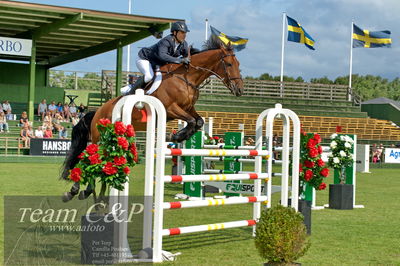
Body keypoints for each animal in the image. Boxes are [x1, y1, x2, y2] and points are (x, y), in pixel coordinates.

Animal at [60, 38, 244, 202]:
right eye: (229, 64)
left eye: (238, 64)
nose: (239, 90)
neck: (186, 78)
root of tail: (97, 111)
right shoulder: (171, 108)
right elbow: (192, 121)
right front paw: (174, 136)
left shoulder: (188, 108)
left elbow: (198, 121)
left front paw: (179, 136)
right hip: (99, 138)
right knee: (88, 158)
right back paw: (76, 191)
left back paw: (85, 192)